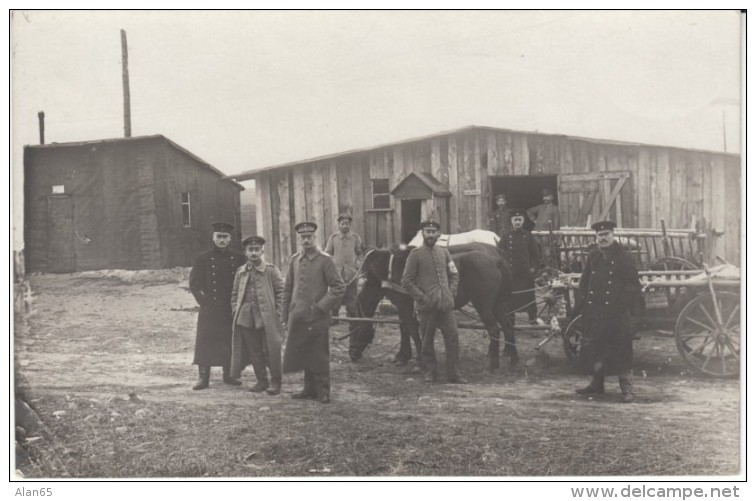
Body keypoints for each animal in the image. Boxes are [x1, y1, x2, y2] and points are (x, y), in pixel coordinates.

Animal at [350, 240, 520, 370]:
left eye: (355, 327)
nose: (352, 354)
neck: (390, 269)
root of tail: (497, 260)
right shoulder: (403, 306)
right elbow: (405, 329)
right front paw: (403, 356)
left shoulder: (405, 306)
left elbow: (411, 330)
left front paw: (418, 360)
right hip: (497, 304)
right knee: (507, 326)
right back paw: (513, 360)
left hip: (483, 305)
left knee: (494, 329)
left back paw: (493, 364)